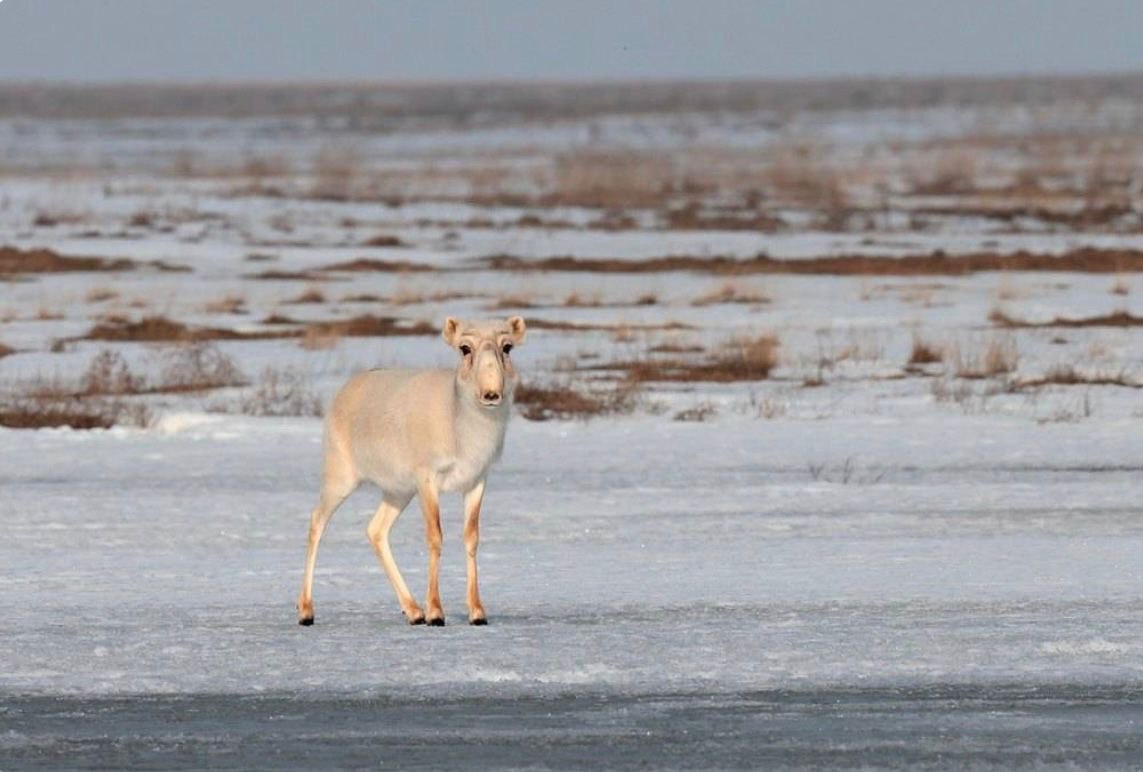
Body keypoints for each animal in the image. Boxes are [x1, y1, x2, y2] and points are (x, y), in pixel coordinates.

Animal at [294, 317, 525, 626]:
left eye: (507, 346)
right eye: (465, 348)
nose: (491, 394)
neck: (461, 422)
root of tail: (346, 389)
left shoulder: (476, 481)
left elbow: (471, 538)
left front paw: (477, 612)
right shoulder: (427, 480)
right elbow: (435, 537)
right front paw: (436, 613)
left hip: (398, 493)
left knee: (376, 530)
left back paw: (413, 611)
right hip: (340, 478)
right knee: (317, 523)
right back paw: (306, 611)